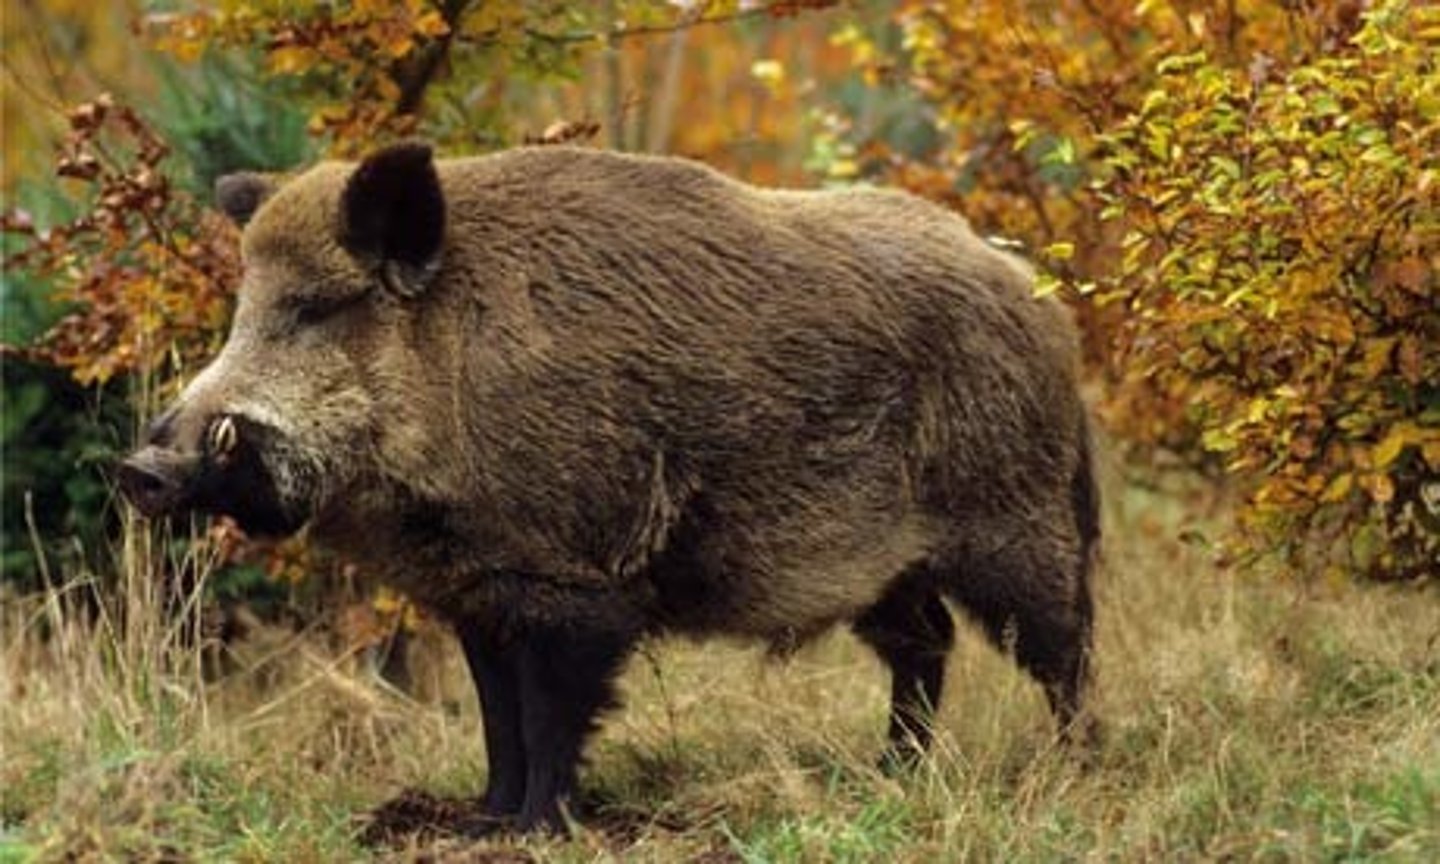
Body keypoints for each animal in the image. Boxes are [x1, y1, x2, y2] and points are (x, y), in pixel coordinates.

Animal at [119, 142, 1100, 833]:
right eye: (245, 309)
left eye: (316, 309)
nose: (140, 471)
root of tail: (1044, 303)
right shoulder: (480, 595)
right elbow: (499, 719)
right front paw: (484, 819)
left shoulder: (574, 582)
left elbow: (554, 714)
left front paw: (537, 830)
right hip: (880, 568)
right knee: (926, 643)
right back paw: (892, 772)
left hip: (1014, 522)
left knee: (1063, 644)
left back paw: (1075, 766)